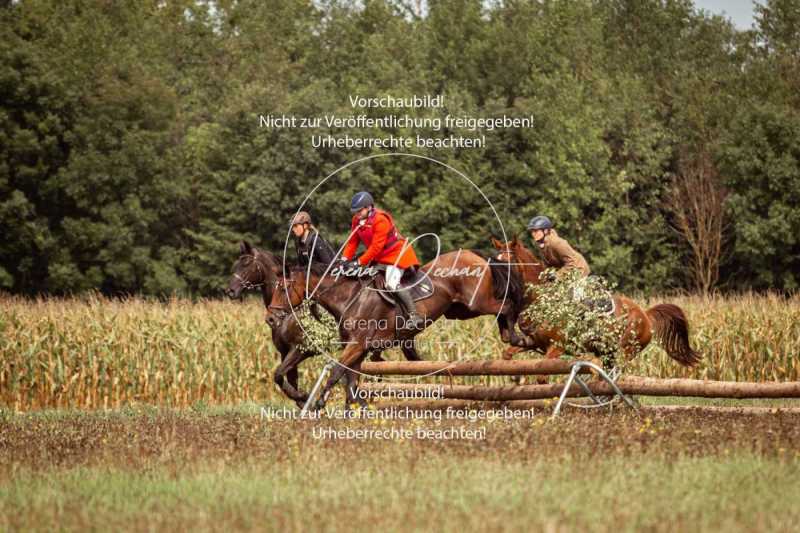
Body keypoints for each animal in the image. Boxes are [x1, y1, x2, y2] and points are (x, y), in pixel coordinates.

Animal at [268, 249, 532, 408]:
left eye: (284, 288)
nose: (271, 318)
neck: (349, 297)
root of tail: (475, 255)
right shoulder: (356, 349)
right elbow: (350, 381)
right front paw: (356, 411)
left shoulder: (357, 345)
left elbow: (336, 373)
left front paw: (319, 403)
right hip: (461, 310)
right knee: (501, 310)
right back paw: (513, 337)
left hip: (476, 302)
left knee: (507, 306)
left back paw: (517, 337)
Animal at [488, 237, 700, 378]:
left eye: (508, 262)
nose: (498, 290)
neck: (539, 299)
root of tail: (645, 315)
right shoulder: (533, 341)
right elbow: (508, 355)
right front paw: (515, 376)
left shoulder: (557, 347)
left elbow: (542, 375)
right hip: (607, 352)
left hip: (626, 350)